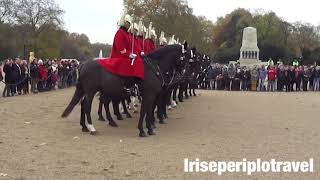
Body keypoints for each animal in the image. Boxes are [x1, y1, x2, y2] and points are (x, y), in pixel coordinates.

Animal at [62, 43, 190, 137]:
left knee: (88, 104)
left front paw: (150, 128)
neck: (154, 68)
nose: (183, 74)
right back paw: (92, 128)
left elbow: (149, 110)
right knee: (88, 105)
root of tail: (84, 64)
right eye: (186, 58)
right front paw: (143, 130)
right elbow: (145, 110)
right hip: (91, 91)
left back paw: (86, 126)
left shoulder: (154, 95)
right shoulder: (150, 94)